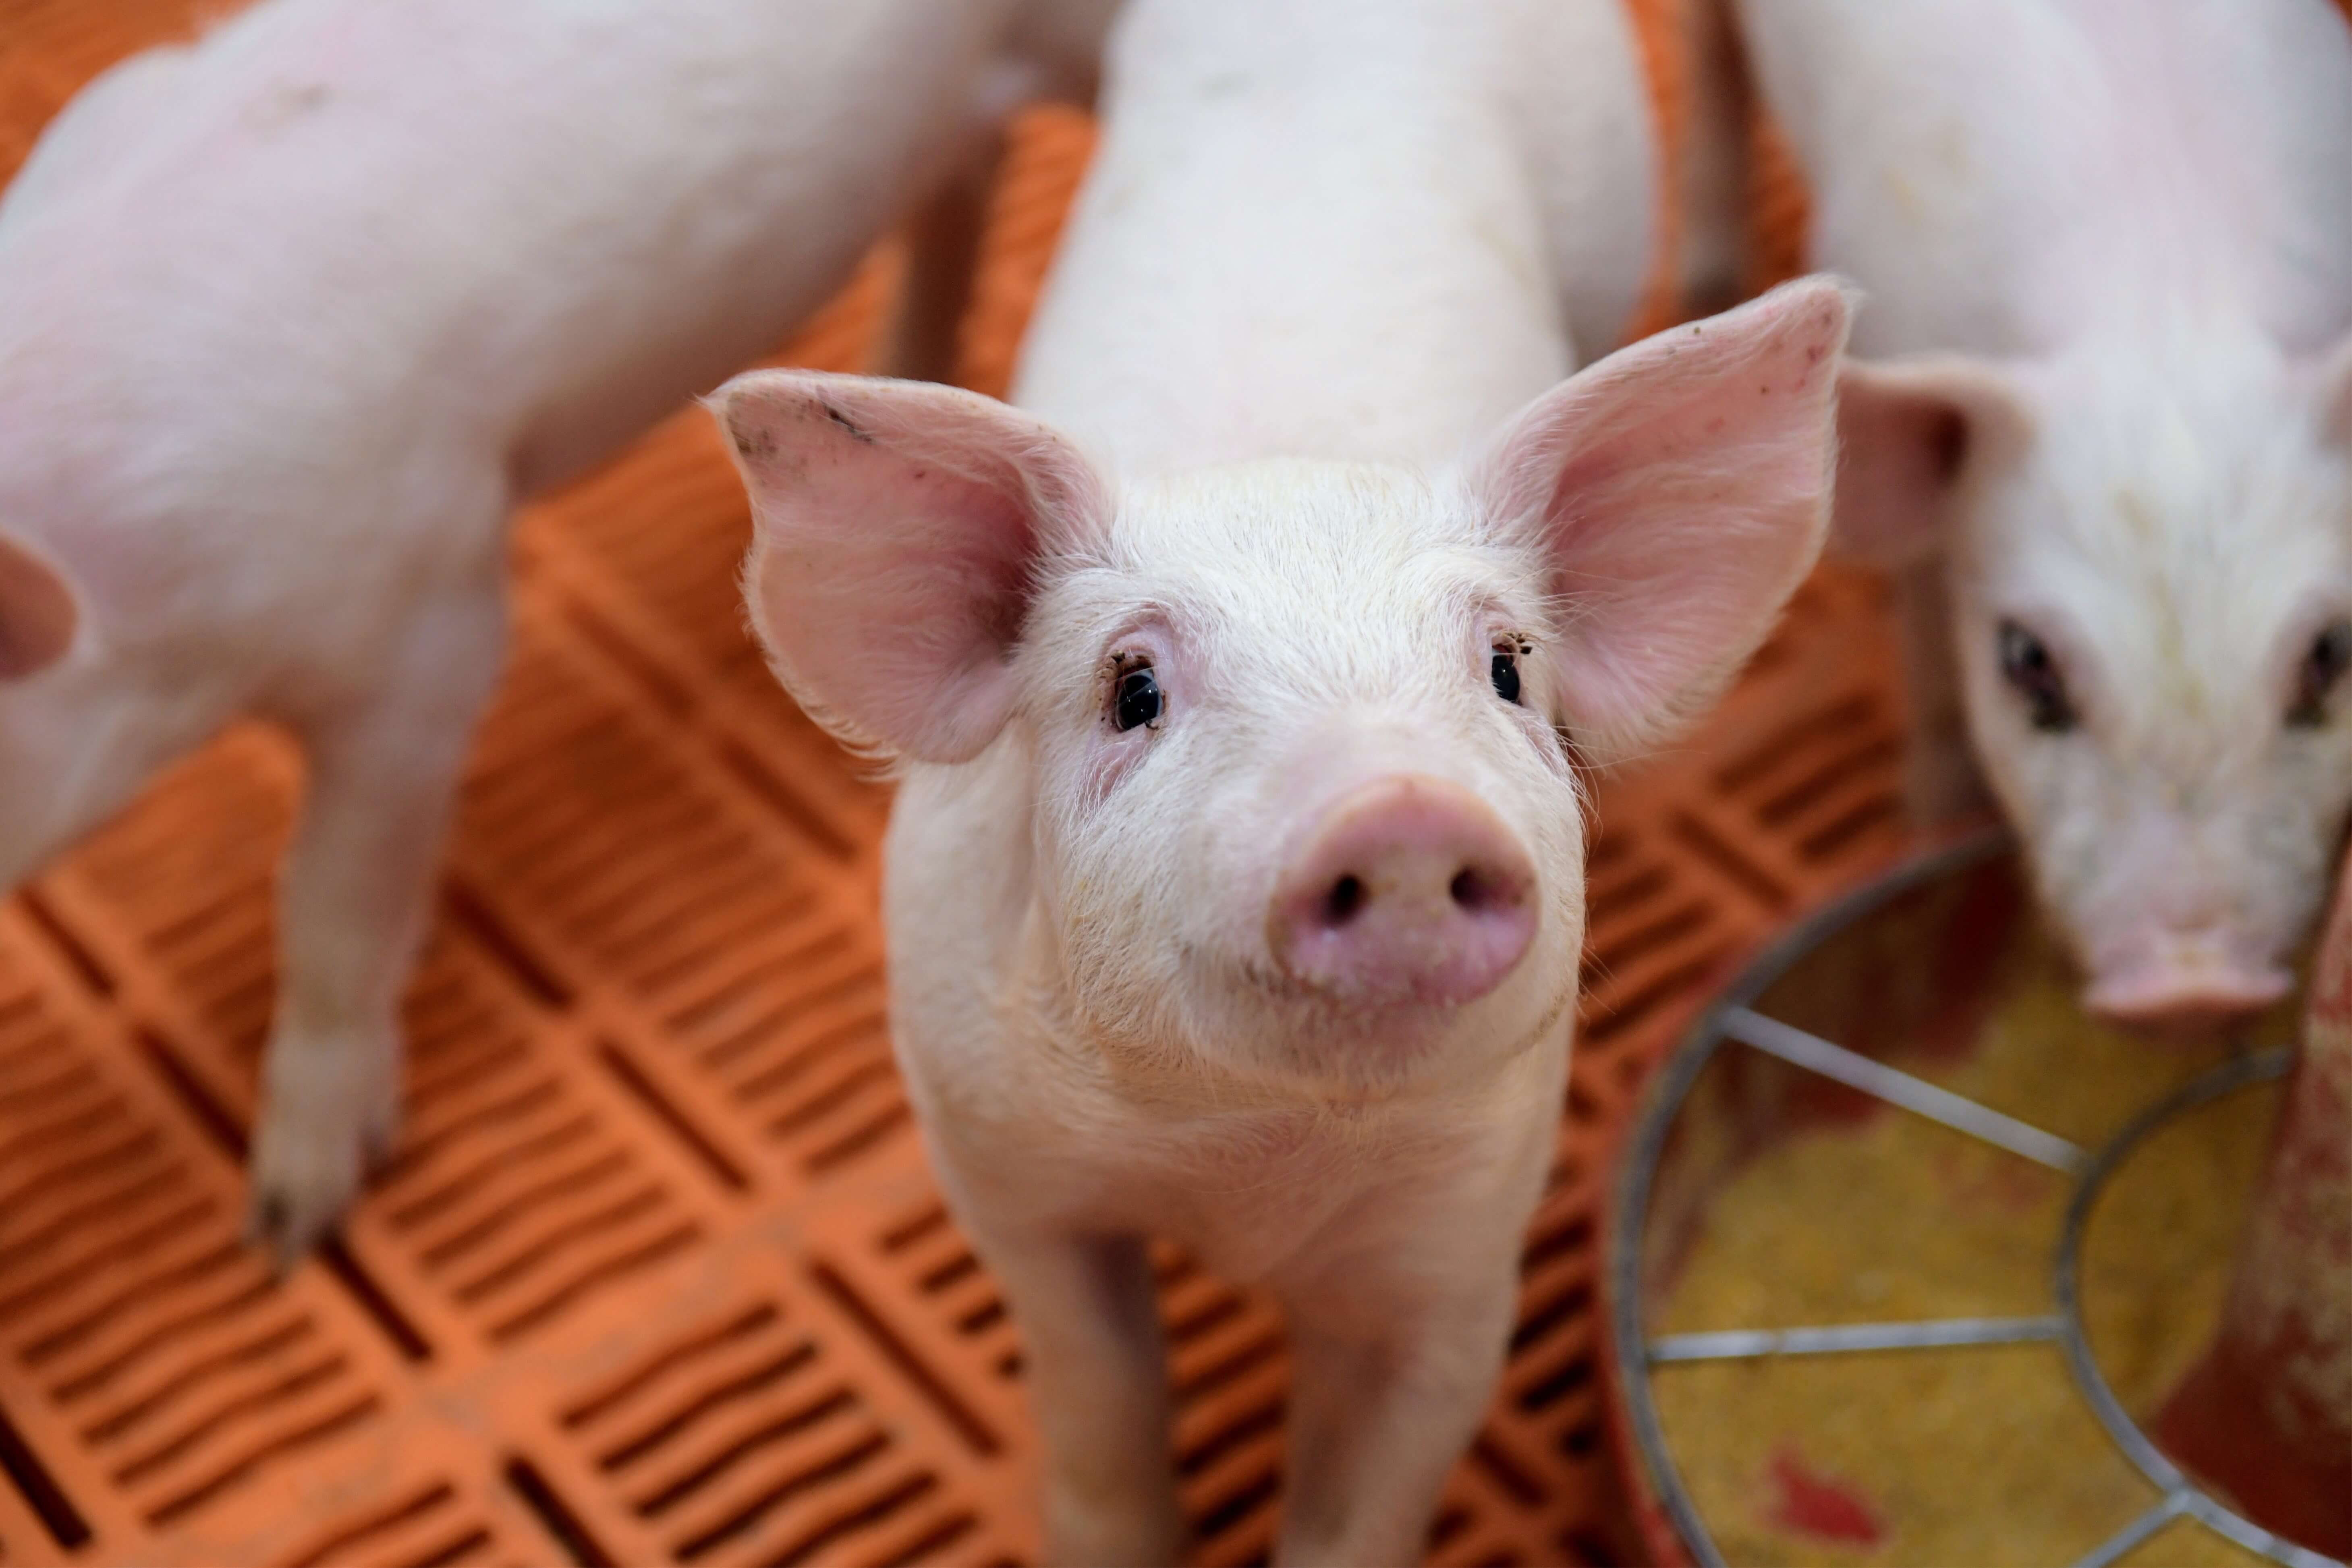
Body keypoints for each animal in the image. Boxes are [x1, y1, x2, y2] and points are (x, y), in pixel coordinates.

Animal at [715, 0, 1853, 1561]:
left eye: (1506, 668)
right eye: (1130, 689)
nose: (1398, 808)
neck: (1242, 1166)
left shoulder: (1466, 1245)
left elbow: (1363, 1493)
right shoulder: (993, 1163)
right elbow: (1099, 1397)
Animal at [1721, 0, 2352, 1029]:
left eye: (2330, 654)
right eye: (2026, 663)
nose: (2191, 983)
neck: (2161, 311)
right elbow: (1932, 675)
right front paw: (1932, 819)